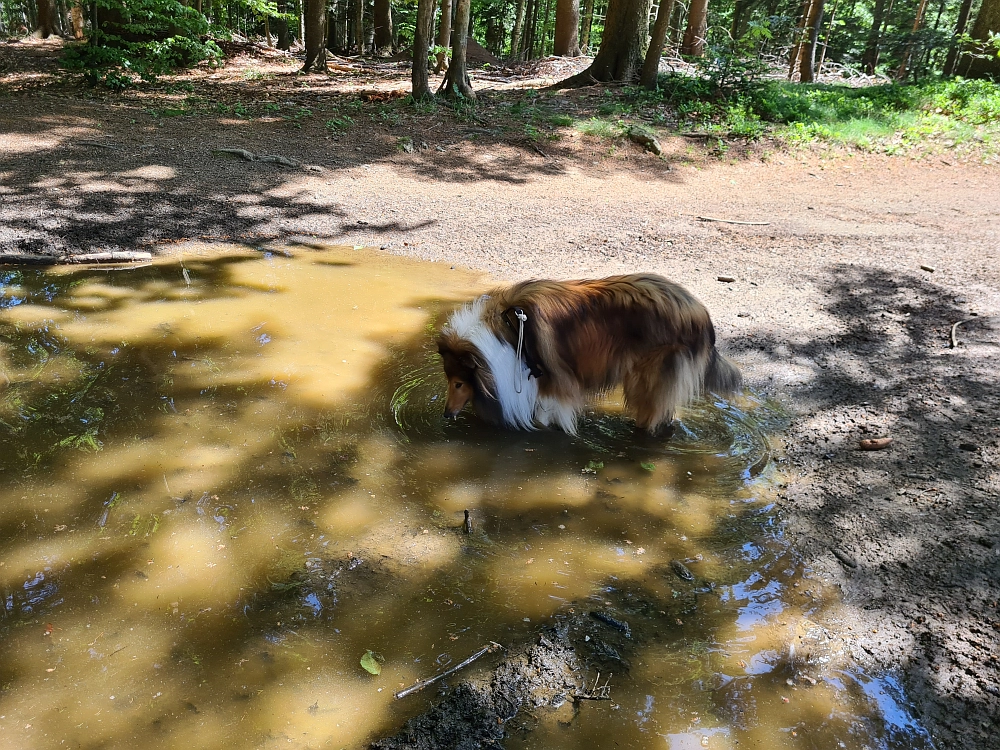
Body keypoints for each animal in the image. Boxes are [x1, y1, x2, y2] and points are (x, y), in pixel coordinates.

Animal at [438, 274, 744, 434]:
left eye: (459, 383)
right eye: (450, 381)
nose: (446, 415)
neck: (509, 329)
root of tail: (701, 313)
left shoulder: (555, 383)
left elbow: (547, 414)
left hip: (648, 378)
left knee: (654, 413)